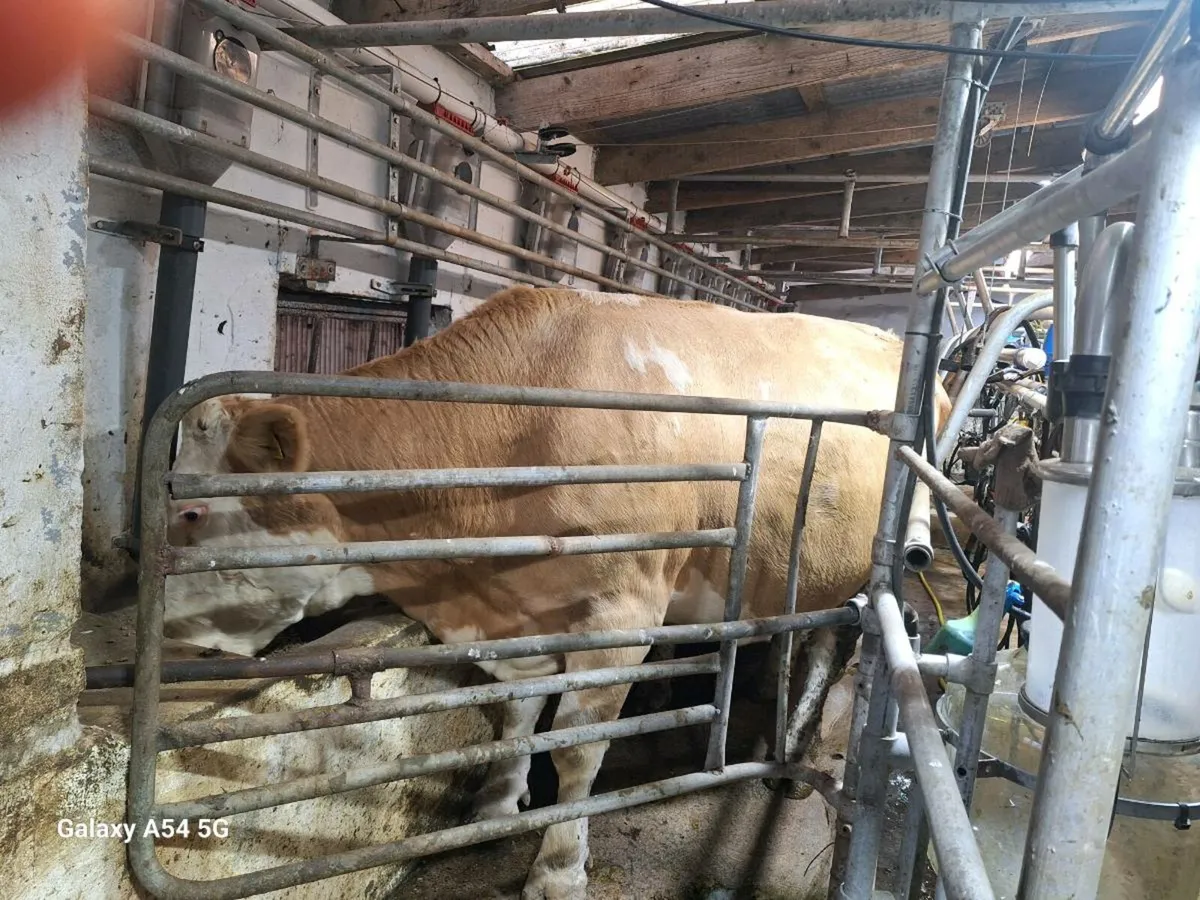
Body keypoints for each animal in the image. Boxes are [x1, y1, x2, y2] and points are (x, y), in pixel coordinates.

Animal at [164, 286, 950, 900]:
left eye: (193, 513)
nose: (164, 635)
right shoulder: (526, 612)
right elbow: (516, 717)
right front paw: (496, 807)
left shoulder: (622, 616)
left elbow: (575, 749)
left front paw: (559, 868)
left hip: (866, 565)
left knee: (830, 646)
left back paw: (793, 755)